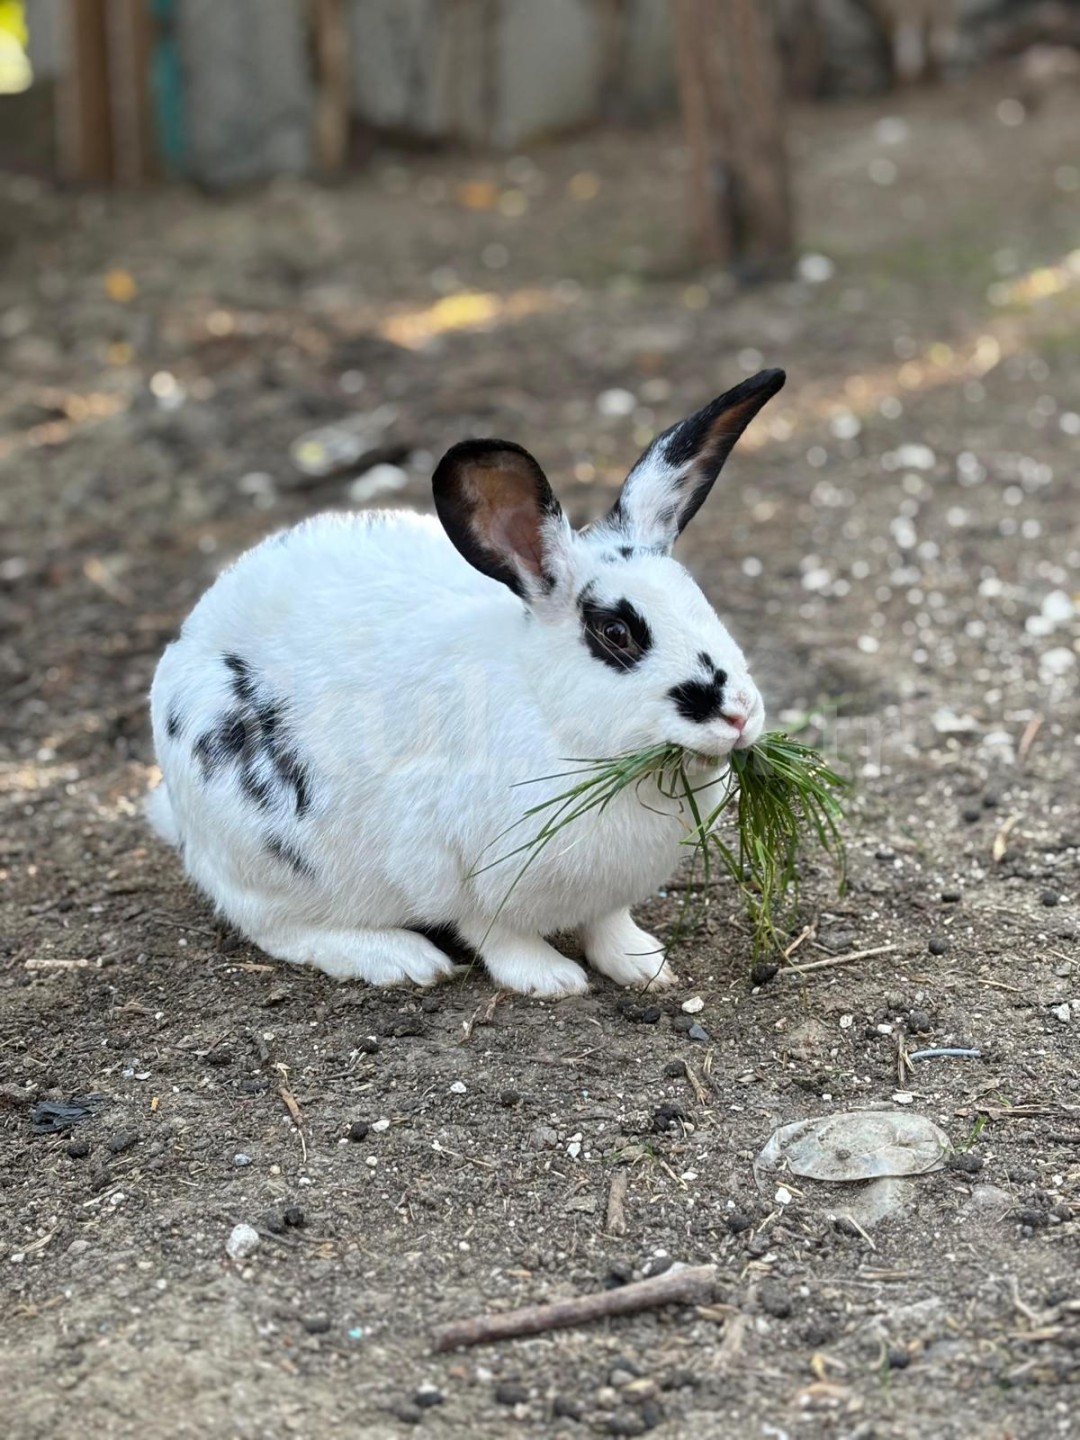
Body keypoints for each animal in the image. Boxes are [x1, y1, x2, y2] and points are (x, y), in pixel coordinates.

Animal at [148, 368, 783, 990]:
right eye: (616, 632)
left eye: (699, 599)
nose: (739, 714)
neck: (552, 717)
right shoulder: (456, 870)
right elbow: (495, 934)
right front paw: (551, 979)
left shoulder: (604, 895)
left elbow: (607, 924)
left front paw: (646, 967)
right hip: (267, 859)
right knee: (277, 927)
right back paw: (403, 960)